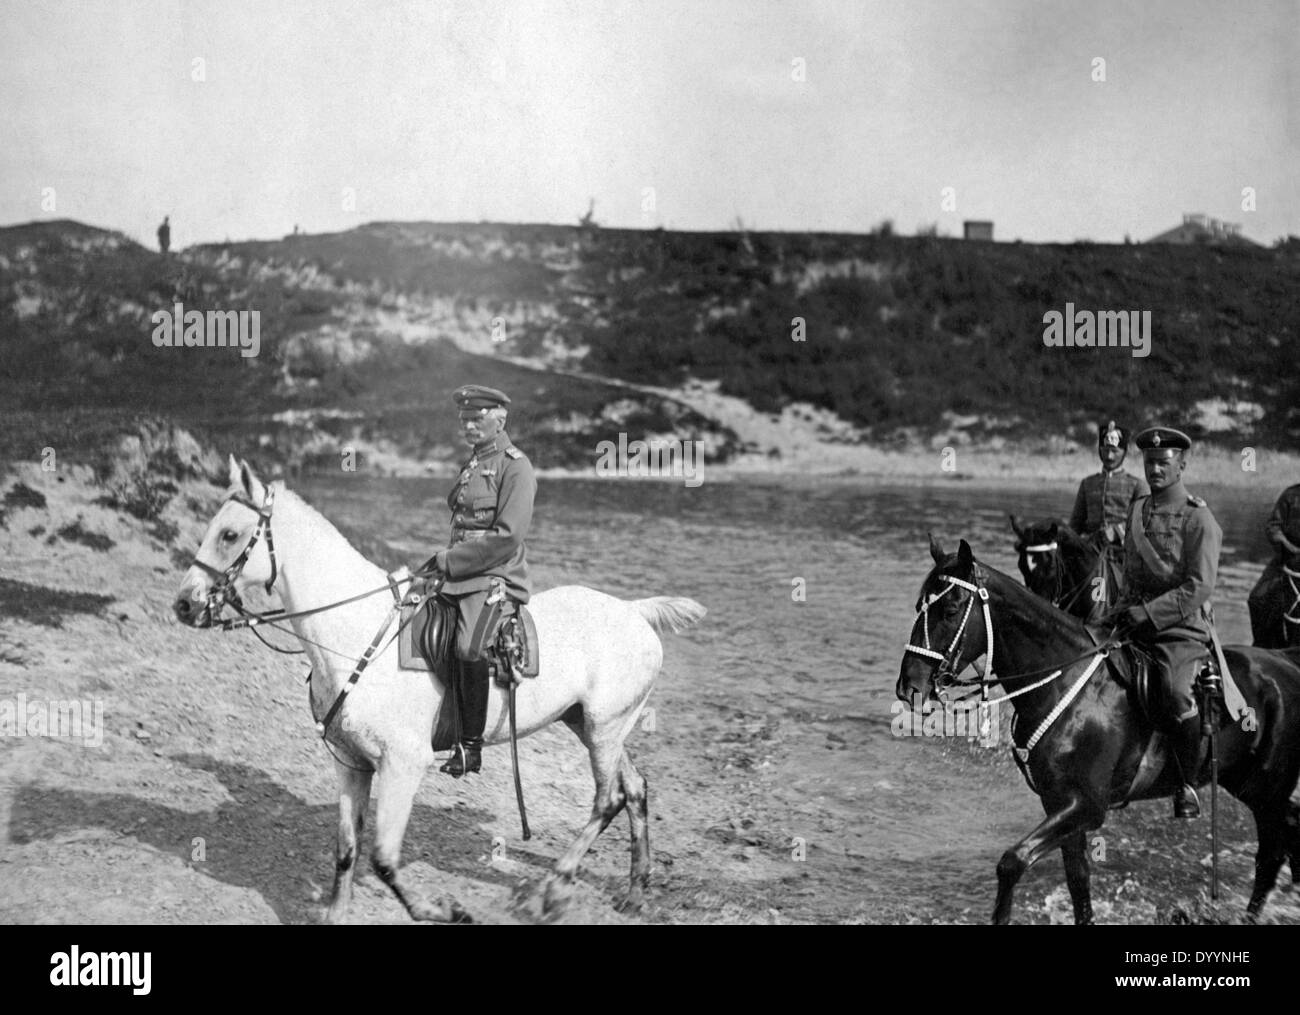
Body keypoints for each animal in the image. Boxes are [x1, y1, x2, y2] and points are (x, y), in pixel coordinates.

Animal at [174, 454, 707, 920]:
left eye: (229, 534)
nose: (184, 603)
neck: (355, 633)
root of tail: (634, 611)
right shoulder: (350, 764)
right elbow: (347, 850)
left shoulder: (402, 765)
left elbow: (384, 858)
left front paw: (444, 911)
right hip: (591, 725)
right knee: (634, 789)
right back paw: (634, 893)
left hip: (603, 728)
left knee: (608, 799)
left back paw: (555, 886)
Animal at [899, 538, 1300, 925]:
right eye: (920, 605)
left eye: (951, 610)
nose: (910, 687)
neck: (1063, 682)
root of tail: (1286, 660)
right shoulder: (1058, 802)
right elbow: (1078, 879)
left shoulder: (1087, 806)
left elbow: (1013, 861)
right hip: (1249, 785)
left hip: (1266, 791)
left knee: (1271, 854)